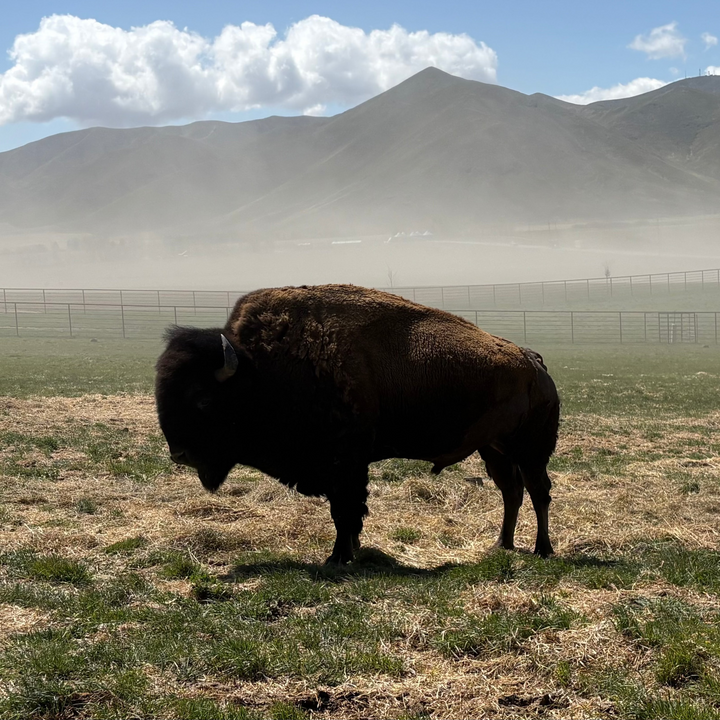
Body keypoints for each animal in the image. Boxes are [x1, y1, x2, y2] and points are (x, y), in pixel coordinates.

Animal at [155, 284, 559, 564]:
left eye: (203, 400)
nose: (180, 454)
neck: (259, 371)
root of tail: (533, 364)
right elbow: (350, 514)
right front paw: (353, 550)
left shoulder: (345, 464)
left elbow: (344, 511)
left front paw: (338, 558)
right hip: (494, 450)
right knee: (512, 492)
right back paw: (502, 544)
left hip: (531, 451)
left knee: (538, 492)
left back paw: (543, 550)